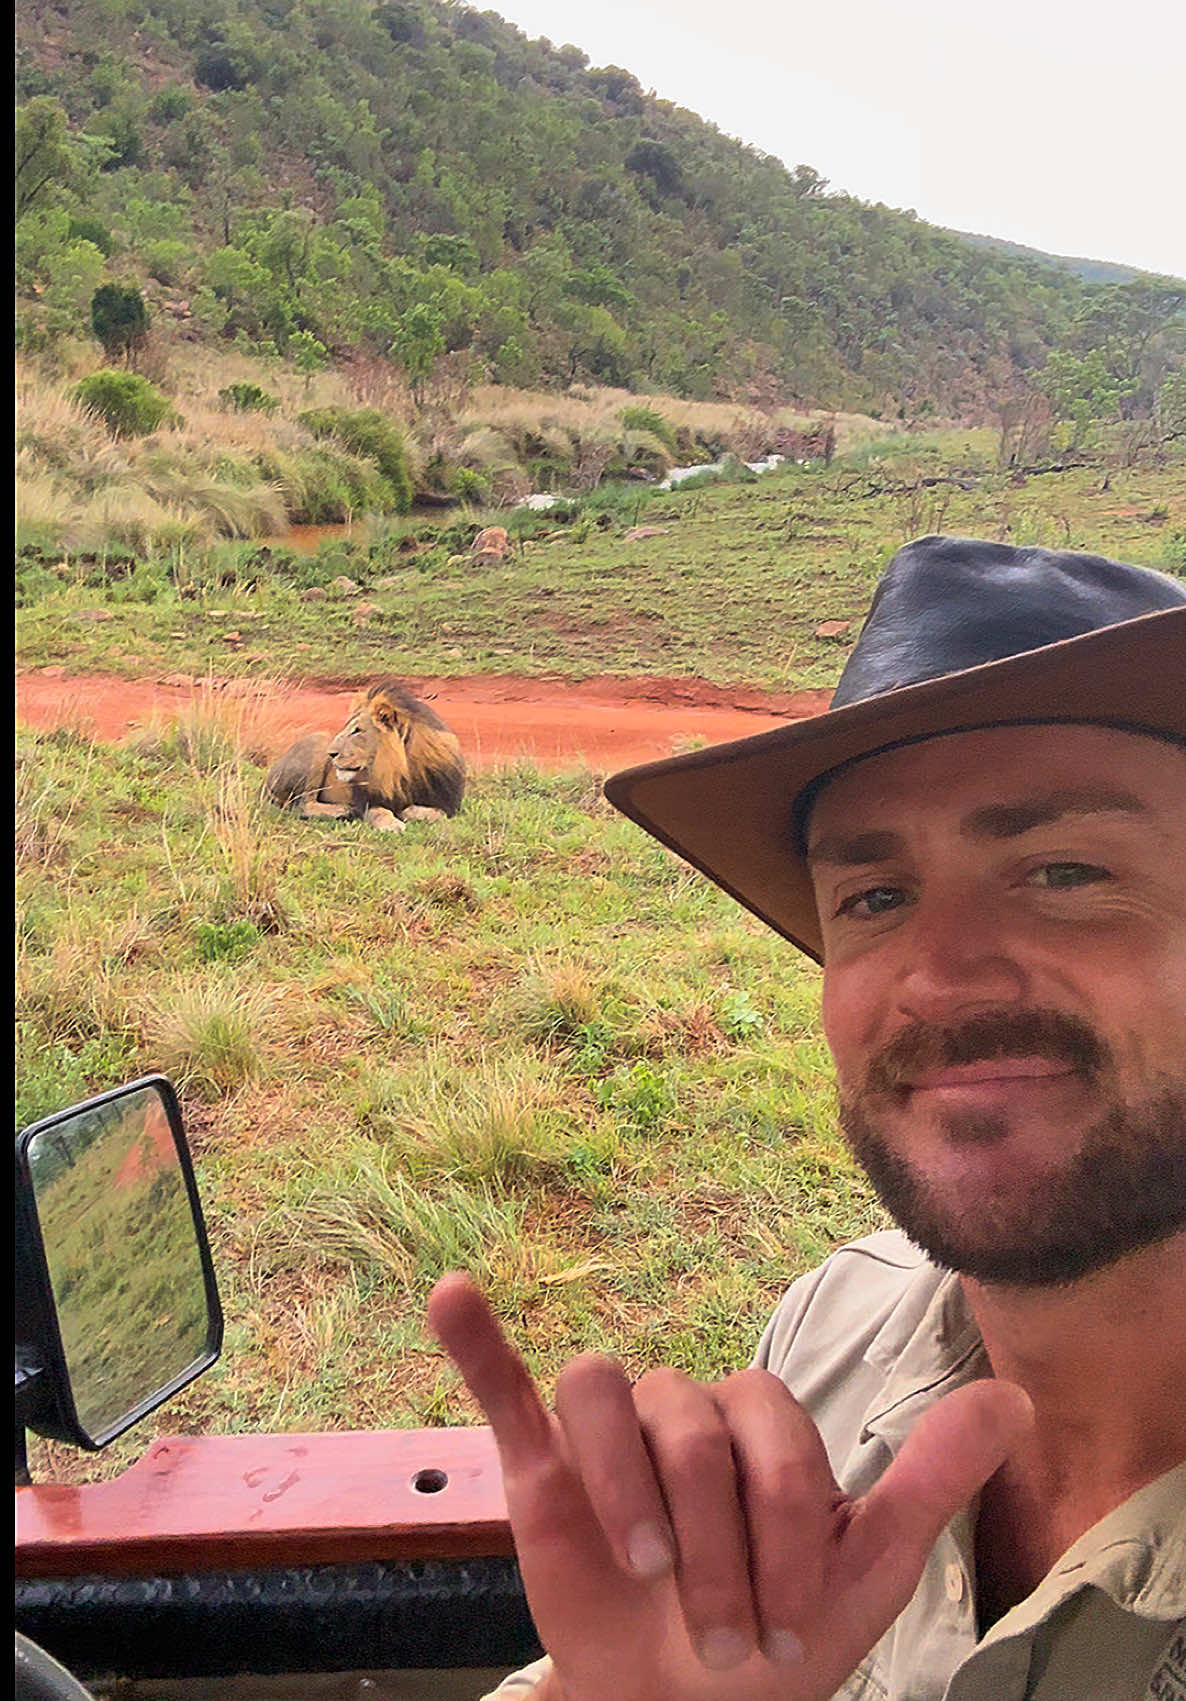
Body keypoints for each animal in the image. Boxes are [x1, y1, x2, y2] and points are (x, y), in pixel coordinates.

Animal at [265, 680, 466, 833]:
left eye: (357, 731)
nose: (331, 753)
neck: (402, 768)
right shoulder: (368, 801)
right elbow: (379, 812)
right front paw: (392, 824)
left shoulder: (448, 803)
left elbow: (436, 813)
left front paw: (408, 812)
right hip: (319, 739)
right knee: (303, 804)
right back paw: (345, 811)